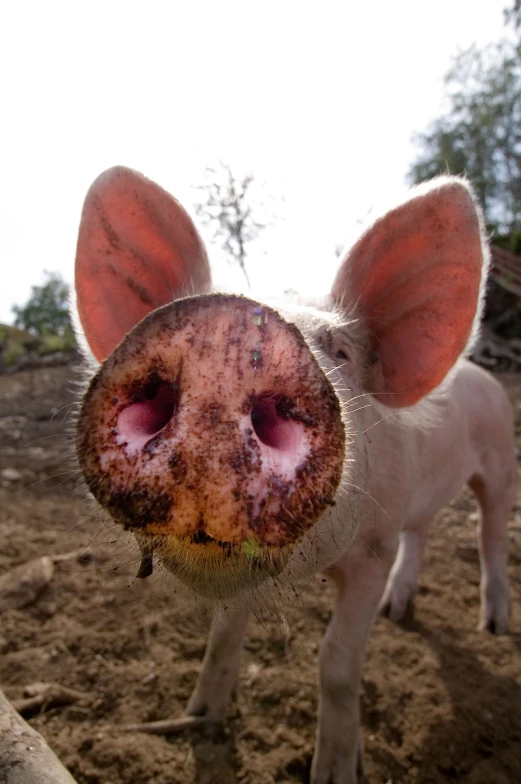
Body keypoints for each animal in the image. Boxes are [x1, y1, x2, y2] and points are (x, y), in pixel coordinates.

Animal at [74, 167, 516, 784]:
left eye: (341, 350)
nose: (223, 332)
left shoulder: (374, 549)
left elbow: (337, 662)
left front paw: (335, 772)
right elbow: (223, 634)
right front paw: (199, 718)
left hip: (501, 460)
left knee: (491, 531)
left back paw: (493, 626)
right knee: (424, 529)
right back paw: (398, 610)